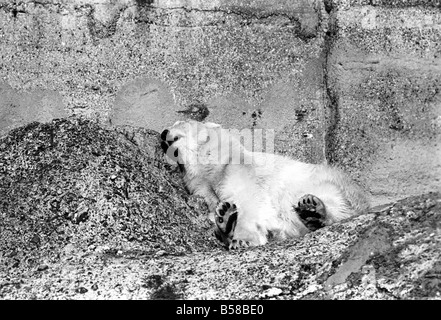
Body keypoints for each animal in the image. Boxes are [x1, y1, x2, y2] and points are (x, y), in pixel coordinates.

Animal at [160, 120, 370, 250]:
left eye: (178, 122)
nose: (163, 133)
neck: (215, 168)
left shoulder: (239, 170)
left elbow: (251, 202)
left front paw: (241, 238)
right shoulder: (206, 190)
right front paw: (224, 218)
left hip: (325, 183)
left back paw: (313, 209)